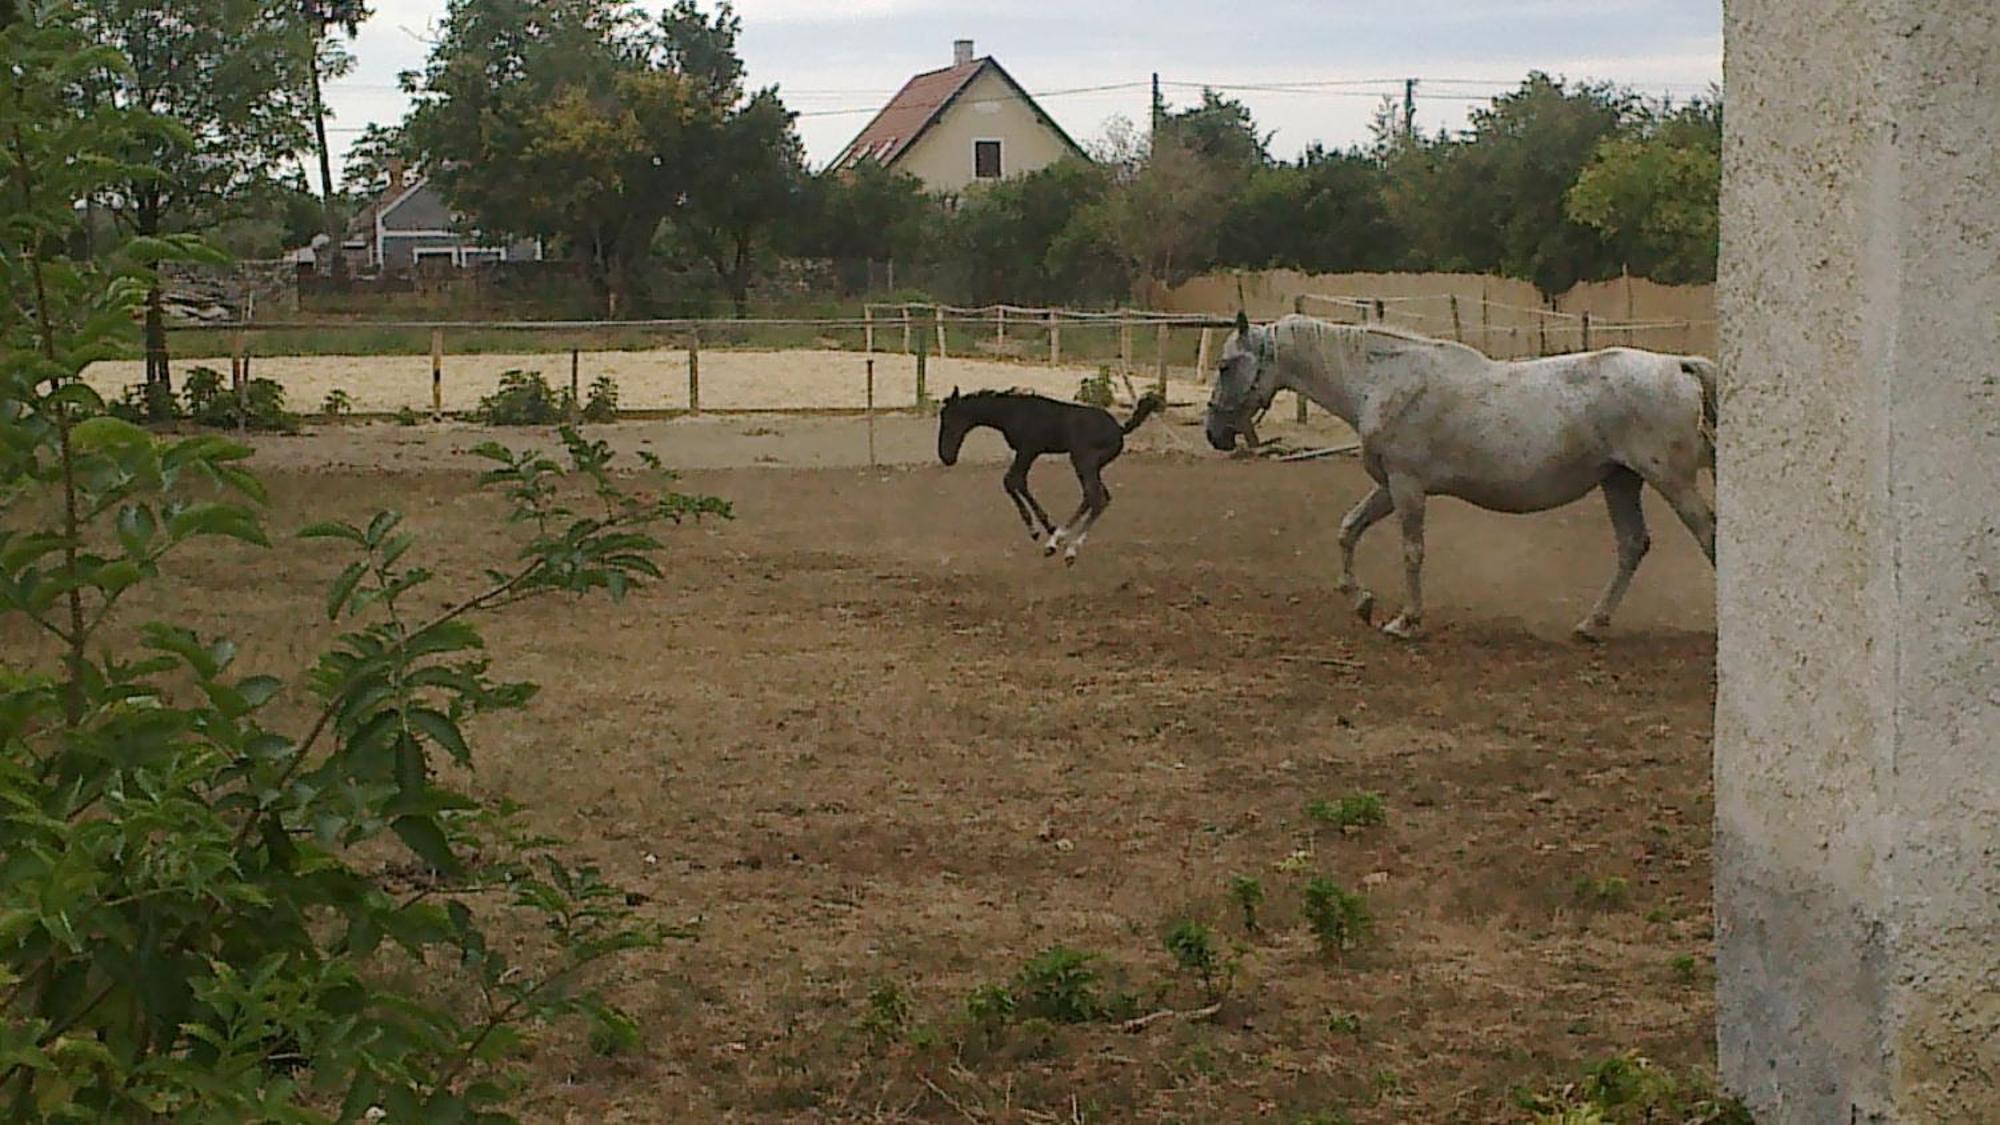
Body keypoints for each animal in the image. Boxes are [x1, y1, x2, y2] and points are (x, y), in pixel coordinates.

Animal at [940, 384, 1168, 560]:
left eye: (949, 420)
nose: (946, 457)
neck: (1013, 411)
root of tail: (1120, 430)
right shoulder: (1029, 452)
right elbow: (1018, 482)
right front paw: (1046, 527)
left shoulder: (1028, 450)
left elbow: (1012, 480)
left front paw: (1036, 529)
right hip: (1092, 465)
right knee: (1099, 497)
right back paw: (1061, 539)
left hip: (1083, 461)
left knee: (1095, 497)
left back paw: (1065, 548)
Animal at [1208, 310, 1712, 640]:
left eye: (1226, 365)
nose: (1214, 434)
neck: (1382, 381)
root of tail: (1679, 366)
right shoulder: (1389, 486)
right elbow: (1348, 529)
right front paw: (1361, 601)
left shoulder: (1408, 486)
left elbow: (1412, 551)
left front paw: (1406, 621)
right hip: (1620, 480)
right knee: (1632, 545)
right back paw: (1591, 624)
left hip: (1671, 482)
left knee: (1707, 534)